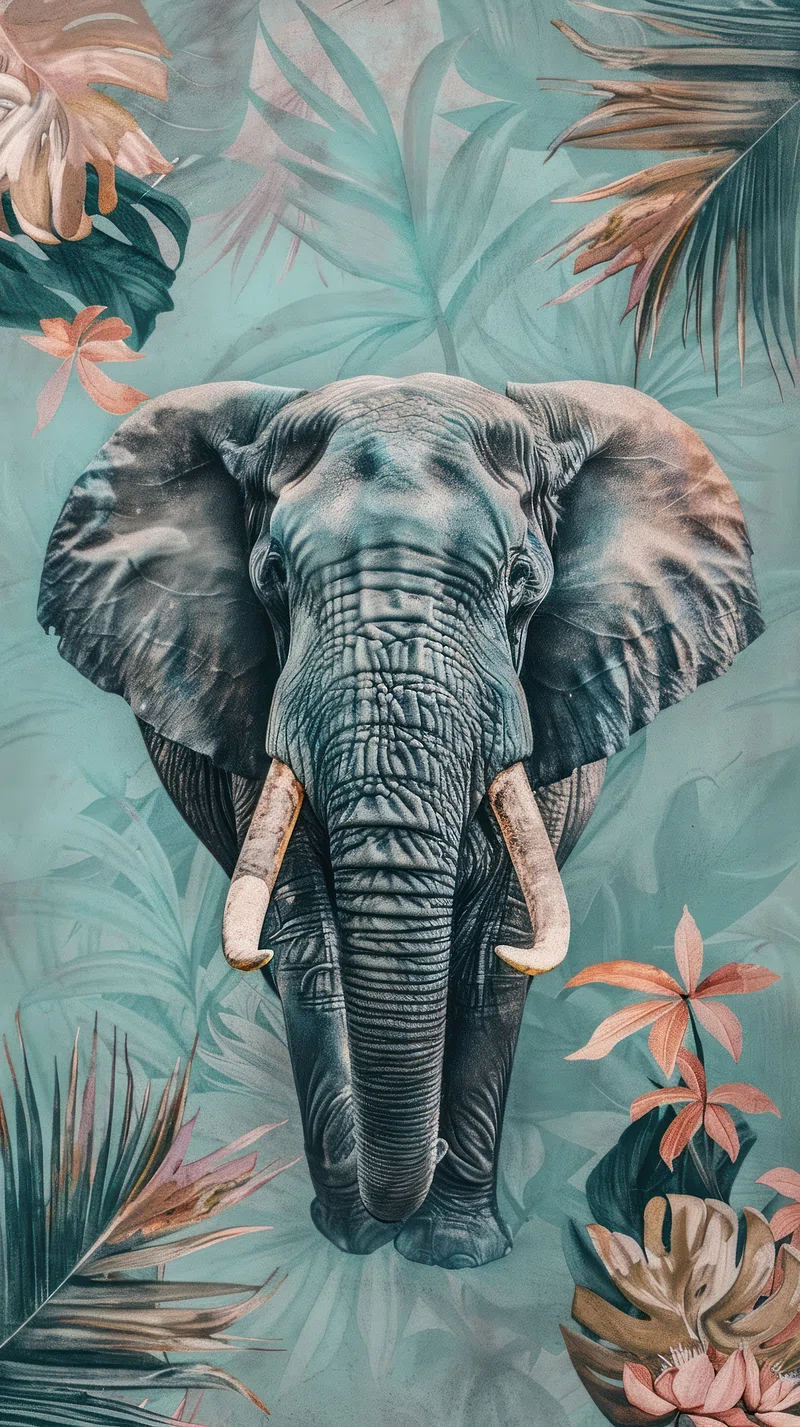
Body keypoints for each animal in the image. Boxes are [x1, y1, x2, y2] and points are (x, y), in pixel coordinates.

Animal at [38, 373, 762, 1269]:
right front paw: (352, 1233)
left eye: (522, 577)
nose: (426, 1159)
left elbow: (496, 956)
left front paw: (451, 1252)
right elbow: (307, 940)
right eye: (272, 575)